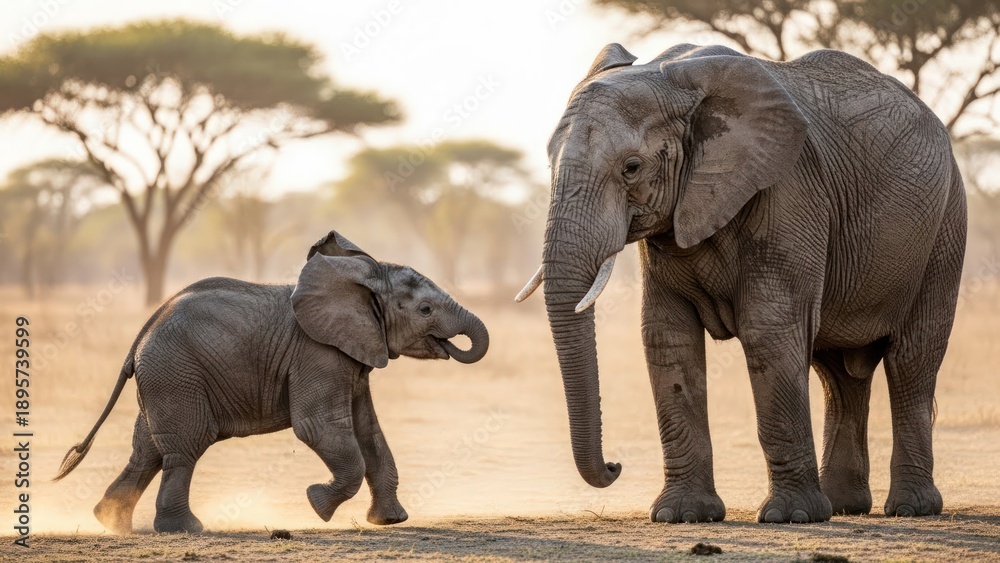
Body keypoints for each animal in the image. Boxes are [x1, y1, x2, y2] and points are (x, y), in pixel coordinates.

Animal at [54, 230, 489, 534]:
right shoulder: (318, 354)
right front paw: (316, 505)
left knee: (147, 449)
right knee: (185, 446)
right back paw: (183, 530)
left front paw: (391, 521)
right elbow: (318, 428)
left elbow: (369, 432)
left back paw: (111, 523)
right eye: (425, 309)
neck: (362, 282)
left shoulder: (353, 355)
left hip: (164, 379)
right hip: (176, 374)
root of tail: (139, 339)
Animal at [516, 43, 966, 524]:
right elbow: (667, 337)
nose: (615, 465)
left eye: (631, 168)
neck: (670, 78)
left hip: (945, 225)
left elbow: (768, 331)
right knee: (838, 373)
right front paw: (682, 515)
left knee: (911, 360)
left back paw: (910, 508)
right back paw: (844, 506)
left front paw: (790, 517)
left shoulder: (789, 191)